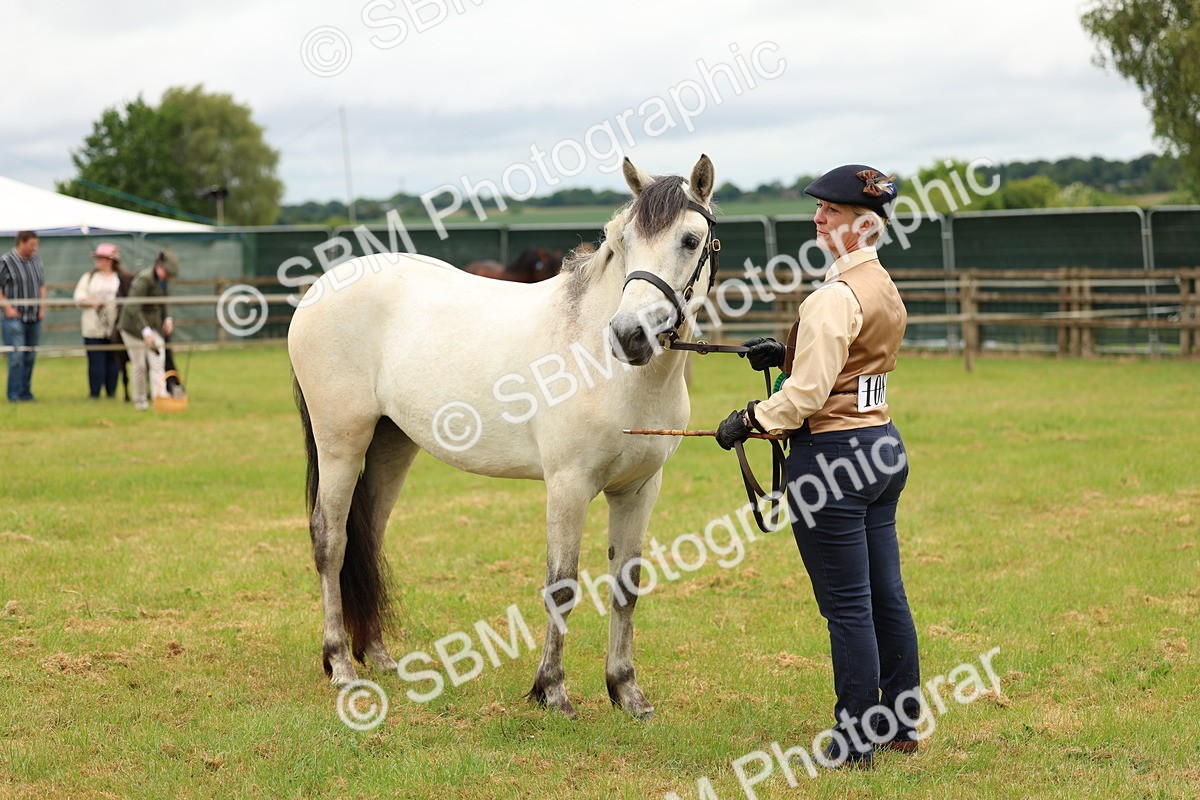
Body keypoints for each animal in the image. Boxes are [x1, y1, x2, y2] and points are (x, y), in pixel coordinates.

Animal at [288, 154, 718, 719]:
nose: (629, 336)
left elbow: (627, 585)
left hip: (390, 445)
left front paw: (627, 692)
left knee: (369, 538)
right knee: (331, 541)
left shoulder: (640, 489)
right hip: (341, 443)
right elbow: (561, 586)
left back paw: (378, 656)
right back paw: (340, 665)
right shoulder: (568, 485)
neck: (608, 369)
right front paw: (551, 692)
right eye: (622, 240)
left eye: (691, 240)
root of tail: (319, 291)